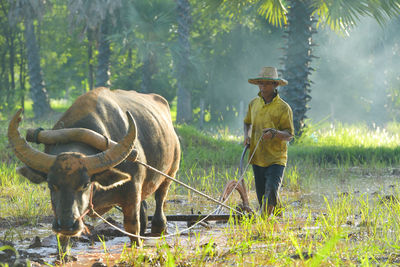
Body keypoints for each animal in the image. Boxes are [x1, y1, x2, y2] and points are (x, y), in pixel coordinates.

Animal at [7, 87, 181, 250]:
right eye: (51, 185)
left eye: (85, 184)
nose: (66, 224)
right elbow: (62, 241)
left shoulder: (131, 194)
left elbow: (132, 228)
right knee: (144, 210)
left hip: (171, 172)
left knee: (159, 202)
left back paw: (159, 228)